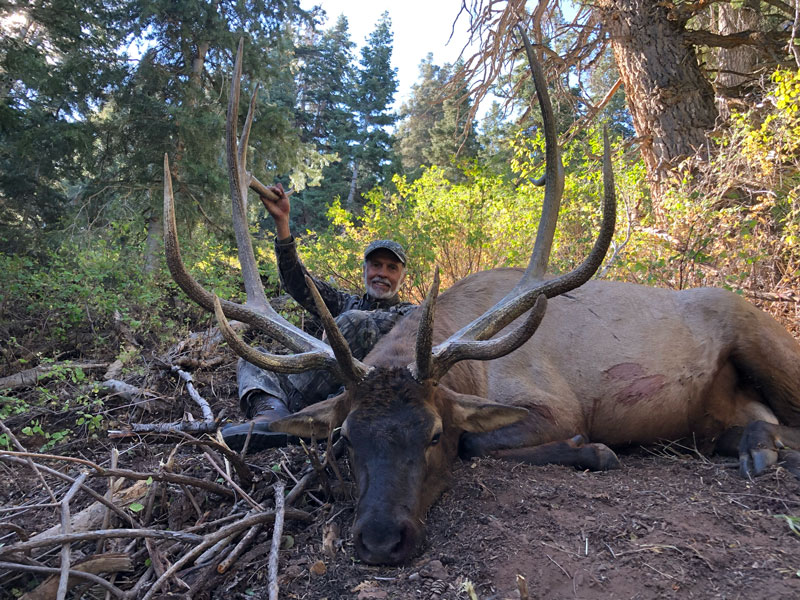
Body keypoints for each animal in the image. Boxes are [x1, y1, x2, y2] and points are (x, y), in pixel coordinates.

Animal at [164, 38, 800, 568]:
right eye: (345, 439)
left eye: (432, 435)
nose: (381, 541)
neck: (471, 367)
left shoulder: (555, 402)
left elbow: (482, 439)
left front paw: (591, 449)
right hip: (712, 410)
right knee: (748, 426)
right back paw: (756, 446)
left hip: (764, 338)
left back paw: (763, 450)